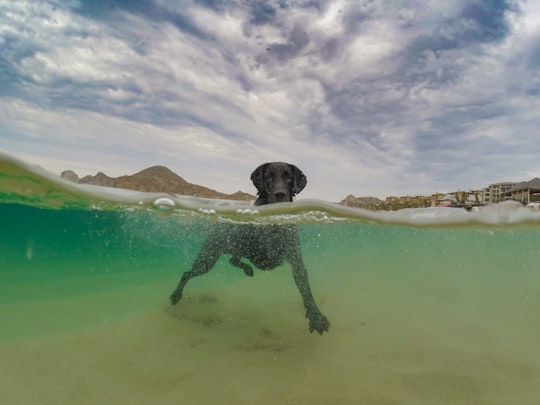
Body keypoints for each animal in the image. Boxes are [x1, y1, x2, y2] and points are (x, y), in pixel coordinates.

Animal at [170, 162, 330, 334]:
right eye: (268, 177)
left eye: (289, 178)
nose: (280, 194)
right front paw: (317, 318)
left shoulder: (297, 262)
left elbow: (306, 290)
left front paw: (316, 317)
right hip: (207, 260)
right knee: (188, 273)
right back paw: (176, 295)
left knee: (233, 260)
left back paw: (247, 269)